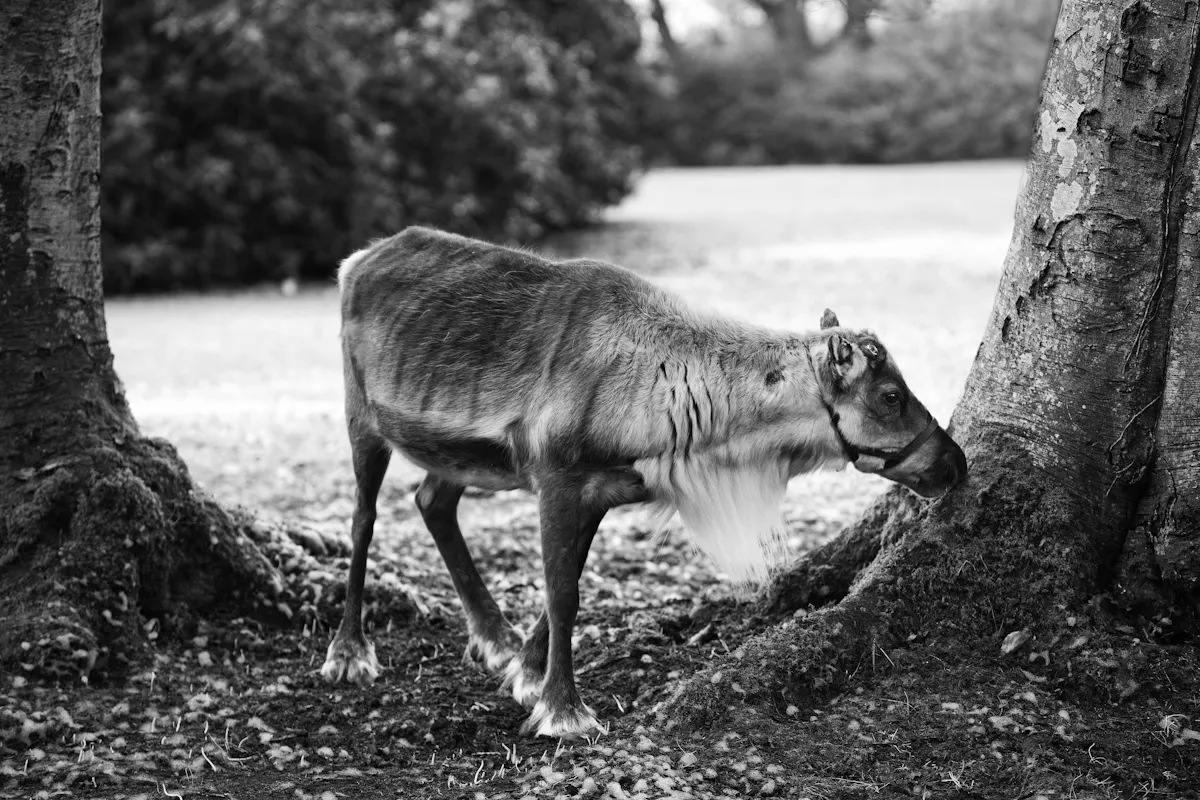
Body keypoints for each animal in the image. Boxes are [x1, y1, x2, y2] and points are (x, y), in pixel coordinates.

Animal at [321, 226, 968, 739]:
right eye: (892, 395)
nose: (956, 463)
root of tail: (356, 259)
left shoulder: (604, 489)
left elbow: (568, 582)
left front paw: (525, 674)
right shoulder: (557, 476)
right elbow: (563, 594)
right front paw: (564, 712)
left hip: (456, 454)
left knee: (431, 500)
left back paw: (494, 636)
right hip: (360, 416)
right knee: (364, 520)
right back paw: (349, 653)